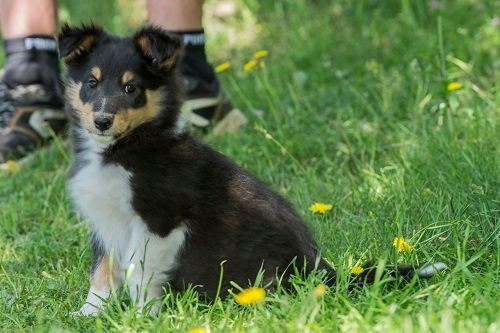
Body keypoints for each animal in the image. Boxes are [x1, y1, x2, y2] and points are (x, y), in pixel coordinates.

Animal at [57, 24, 446, 316]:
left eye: (131, 88)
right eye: (91, 82)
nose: (102, 121)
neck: (123, 149)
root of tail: (321, 270)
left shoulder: (160, 219)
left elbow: (140, 274)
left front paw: (140, 318)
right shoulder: (103, 223)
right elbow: (101, 272)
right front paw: (89, 314)